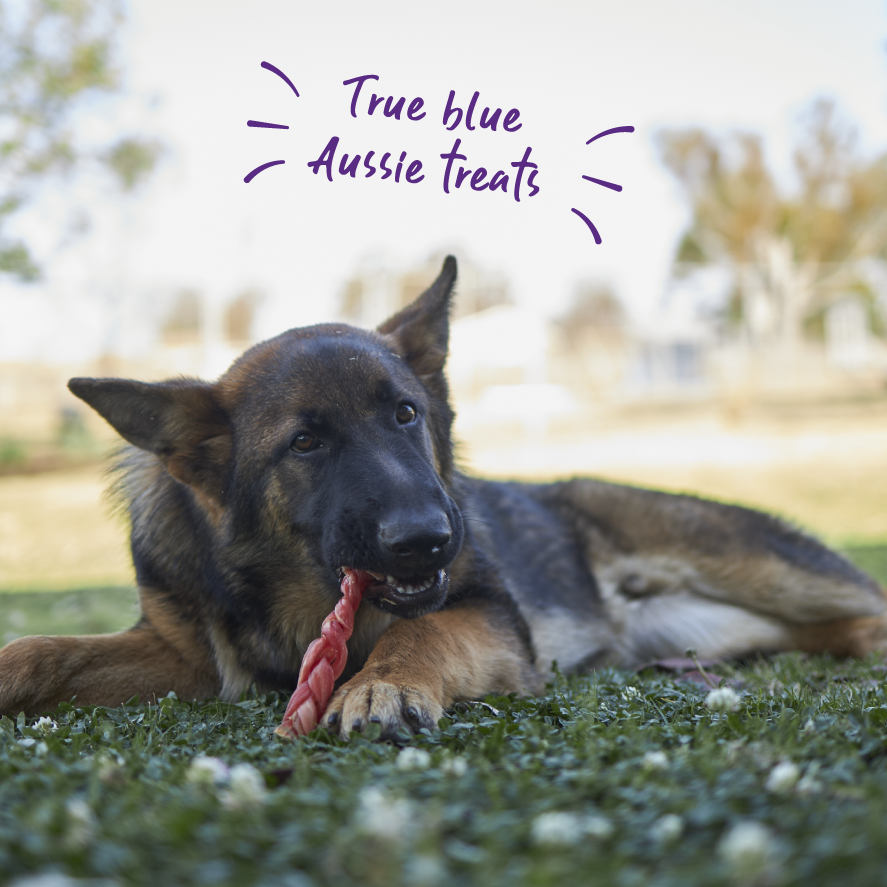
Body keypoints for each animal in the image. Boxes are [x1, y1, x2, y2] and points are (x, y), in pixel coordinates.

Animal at [1, 255, 887, 736]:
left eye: (405, 413)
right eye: (305, 442)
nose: (429, 538)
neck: (287, 589)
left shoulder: (488, 615)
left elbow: (416, 633)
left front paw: (380, 684)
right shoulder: (182, 657)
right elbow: (45, 648)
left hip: (763, 569)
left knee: (863, 602)